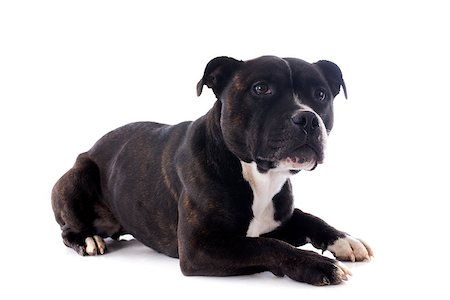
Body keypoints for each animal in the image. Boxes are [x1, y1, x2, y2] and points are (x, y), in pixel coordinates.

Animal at [51, 55, 372, 286]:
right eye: (261, 88)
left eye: (321, 94)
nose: (307, 118)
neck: (259, 176)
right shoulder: (201, 248)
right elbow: (268, 246)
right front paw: (320, 265)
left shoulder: (281, 217)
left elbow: (309, 219)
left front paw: (345, 240)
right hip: (76, 177)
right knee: (68, 229)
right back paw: (88, 239)